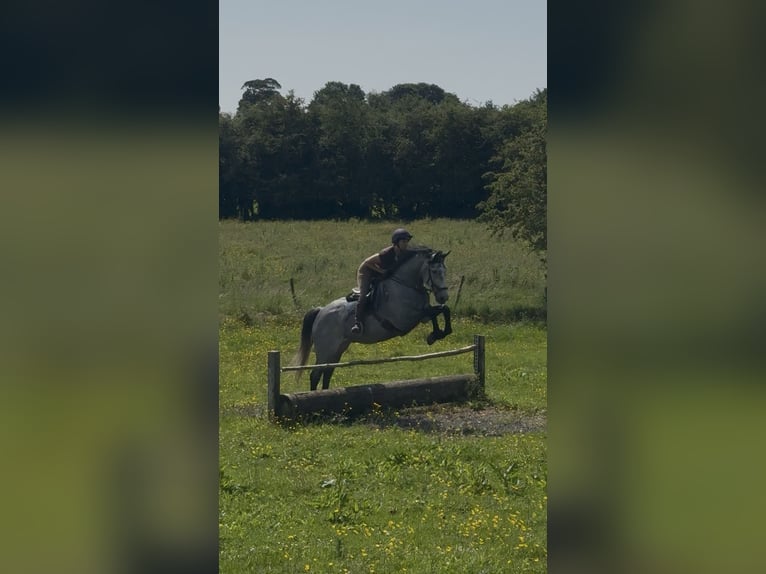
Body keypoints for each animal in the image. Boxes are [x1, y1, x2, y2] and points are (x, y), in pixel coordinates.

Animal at [292, 247, 453, 390]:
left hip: (338, 349)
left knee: (327, 373)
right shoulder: (406, 318)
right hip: (326, 350)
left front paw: (436, 335)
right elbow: (437, 311)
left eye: (445, 270)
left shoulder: (423, 315)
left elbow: (441, 310)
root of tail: (321, 311)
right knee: (315, 375)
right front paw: (436, 334)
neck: (405, 284)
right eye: (434, 271)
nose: (443, 297)